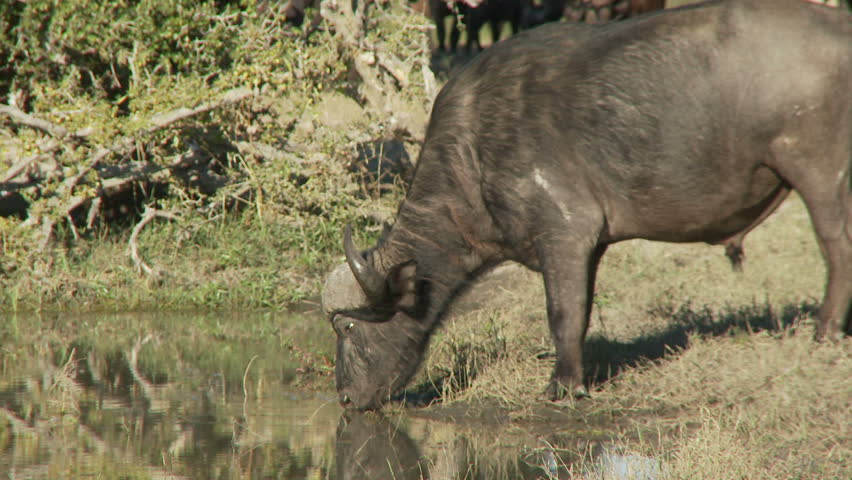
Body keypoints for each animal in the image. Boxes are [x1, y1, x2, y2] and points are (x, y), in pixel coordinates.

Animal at [322, 0, 851, 411]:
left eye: (346, 326)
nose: (345, 397)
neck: (472, 154)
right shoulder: (588, 246)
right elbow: (583, 309)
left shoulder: (564, 231)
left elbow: (563, 312)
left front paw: (563, 386)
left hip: (819, 173)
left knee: (836, 249)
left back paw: (824, 331)